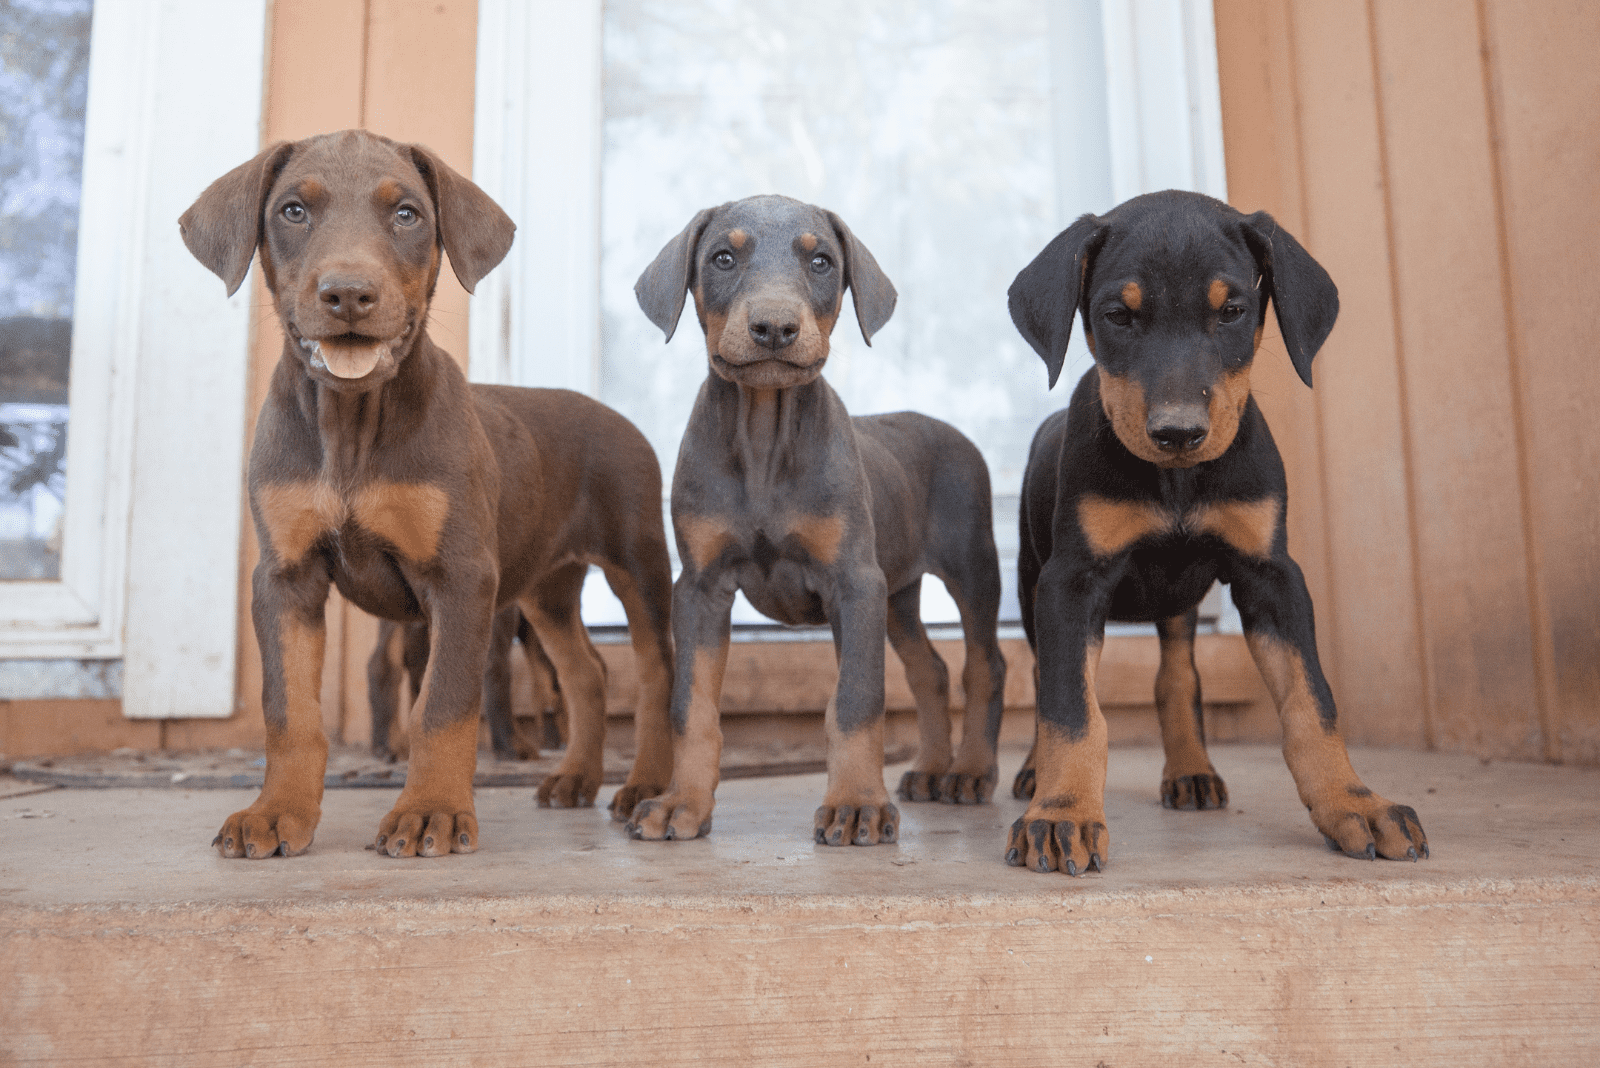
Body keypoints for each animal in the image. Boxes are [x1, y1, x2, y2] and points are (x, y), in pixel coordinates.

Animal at [178, 129, 672, 856]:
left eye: (407, 214)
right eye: (293, 211)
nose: (348, 294)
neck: (352, 423)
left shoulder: (461, 576)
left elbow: (442, 706)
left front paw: (431, 811)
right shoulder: (285, 577)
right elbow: (289, 711)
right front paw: (277, 812)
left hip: (636, 561)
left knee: (659, 673)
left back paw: (647, 788)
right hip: (546, 585)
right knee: (586, 672)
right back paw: (576, 779)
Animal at [620, 195, 998, 844]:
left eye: (821, 260)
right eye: (722, 258)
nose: (774, 327)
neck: (765, 434)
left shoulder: (854, 582)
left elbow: (855, 702)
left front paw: (857, 806)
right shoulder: (699, 587)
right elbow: (691, 706)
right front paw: (680, 803)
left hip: (968, 569)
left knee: (984, 666)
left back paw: (970, 772)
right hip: (898, 593)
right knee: (930, 669)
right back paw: (930, 769)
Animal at [1004, 189, 1433, 876]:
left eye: (1232, 311)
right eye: (1117, 316)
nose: (1178, 433)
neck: (1180, 483)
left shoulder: (1272, 575)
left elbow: (1312, 701)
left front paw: (1356, 803)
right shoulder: (1070, 582)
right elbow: (1071, 707)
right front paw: (1063, 811)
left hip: (1178, 602)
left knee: (1177, 674)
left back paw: (1191, 770)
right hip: (1028, 583)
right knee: (1048, 673)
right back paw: (1034, 773)